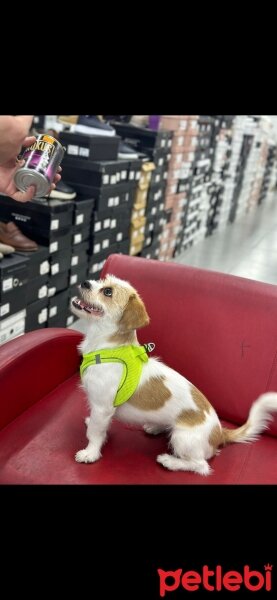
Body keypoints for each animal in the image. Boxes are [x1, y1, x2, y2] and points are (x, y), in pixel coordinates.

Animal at [70, 274, 276, 476]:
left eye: (107, 291)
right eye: (101, 281)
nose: (85, 282)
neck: (109, 349)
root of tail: (220, 433)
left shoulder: (102, 407)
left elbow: (95, 433)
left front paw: (90, 453)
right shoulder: (102, 410)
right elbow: (98, 426)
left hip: (182, 438)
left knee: (201, 466)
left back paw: (170, 461)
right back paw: (155, 427)